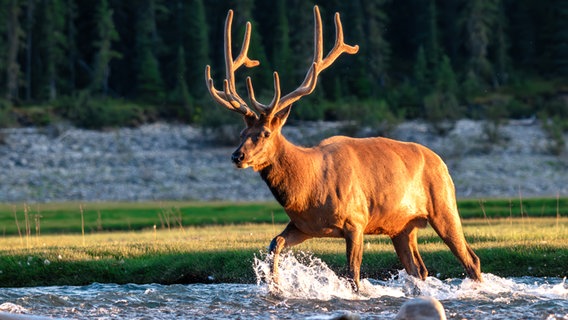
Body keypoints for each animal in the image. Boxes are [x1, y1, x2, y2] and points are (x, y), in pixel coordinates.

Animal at [206, 5, 482, 290]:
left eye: (265, 133)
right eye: (242, 133)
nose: (237, 156)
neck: (306, 190)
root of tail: (442, 162)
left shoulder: (356, 221)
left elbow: (352, 275)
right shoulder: (304, 225)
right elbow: (275, 243)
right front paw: (276, 285)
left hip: (444, 205)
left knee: (471, 259)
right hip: (402, 226)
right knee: (419, 269)